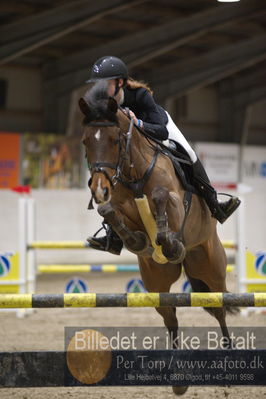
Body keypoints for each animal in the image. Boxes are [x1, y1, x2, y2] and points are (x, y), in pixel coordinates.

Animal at [79, 84, 233, 396]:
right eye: (86, 141)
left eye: (114, 140)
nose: (99, 188)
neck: (133, 173)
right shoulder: (117, 204)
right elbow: (108, 211)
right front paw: (137, 240)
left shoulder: (175, 201)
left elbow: (162, 197)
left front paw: (170, 242)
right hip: (156, 281)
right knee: (171, 317)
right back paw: (178, 381)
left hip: (210, 267)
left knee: (220, 308)